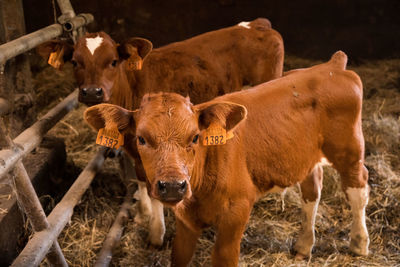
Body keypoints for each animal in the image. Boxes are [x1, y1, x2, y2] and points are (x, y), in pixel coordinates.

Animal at [36, 17, 282, 247]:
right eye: (75, 62)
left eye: (113, 62)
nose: (91, 92)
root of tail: (256, 24)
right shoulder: (135, 148)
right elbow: (140, 178)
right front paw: (143, 214)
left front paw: (156, 233)